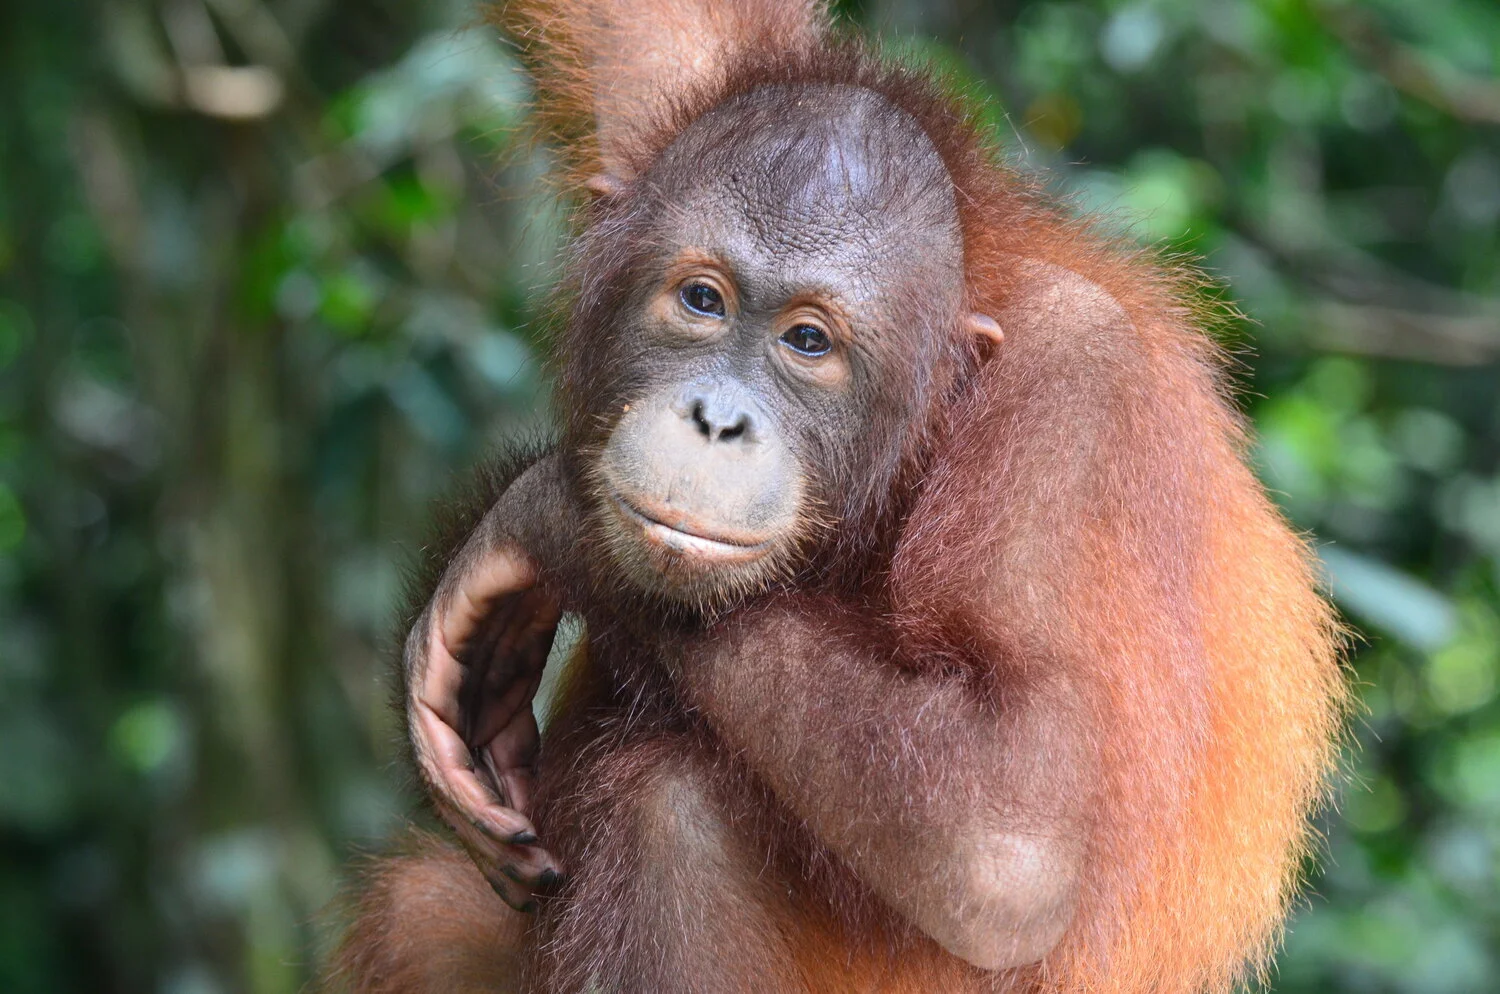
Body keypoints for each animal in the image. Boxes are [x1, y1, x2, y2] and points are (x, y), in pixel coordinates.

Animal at [327, 2, 1348, 992]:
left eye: (808, 341)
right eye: (702, 299)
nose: (716, 420)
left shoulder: (1076, 397)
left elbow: (1008, 837)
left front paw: (540, 515)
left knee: (673, 816)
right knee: (419, 913)